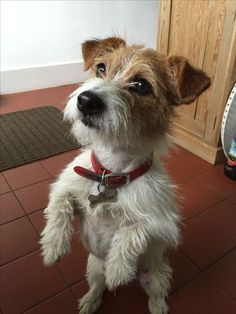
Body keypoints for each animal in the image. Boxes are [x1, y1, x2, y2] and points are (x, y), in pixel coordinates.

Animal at [40, 35, 210, 312]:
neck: (111, 172)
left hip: (157, 274)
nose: (86, 100)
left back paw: (156, 305)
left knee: (155, 292)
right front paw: (53, 246)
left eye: (141, 85)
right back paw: (90, 300)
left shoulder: (164, 224)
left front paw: (118, 270)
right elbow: (60, 205)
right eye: (101, 68)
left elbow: (134, 230)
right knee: (98, 285)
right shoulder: (65, 187)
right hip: (93, 266)